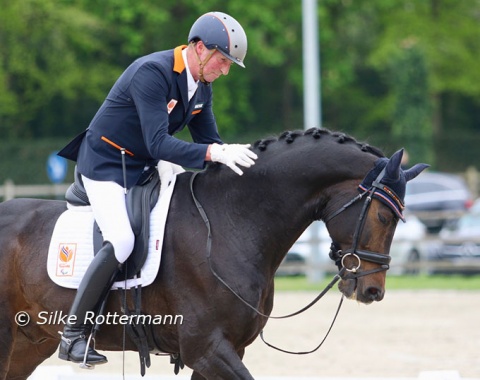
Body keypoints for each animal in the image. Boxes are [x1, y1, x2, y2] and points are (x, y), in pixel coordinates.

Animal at [0, 129, 428, 378]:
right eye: (385, 215)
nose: (372, 291)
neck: (232, 221)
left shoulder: (226, 349)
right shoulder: (206, 349)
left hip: (28, 344)